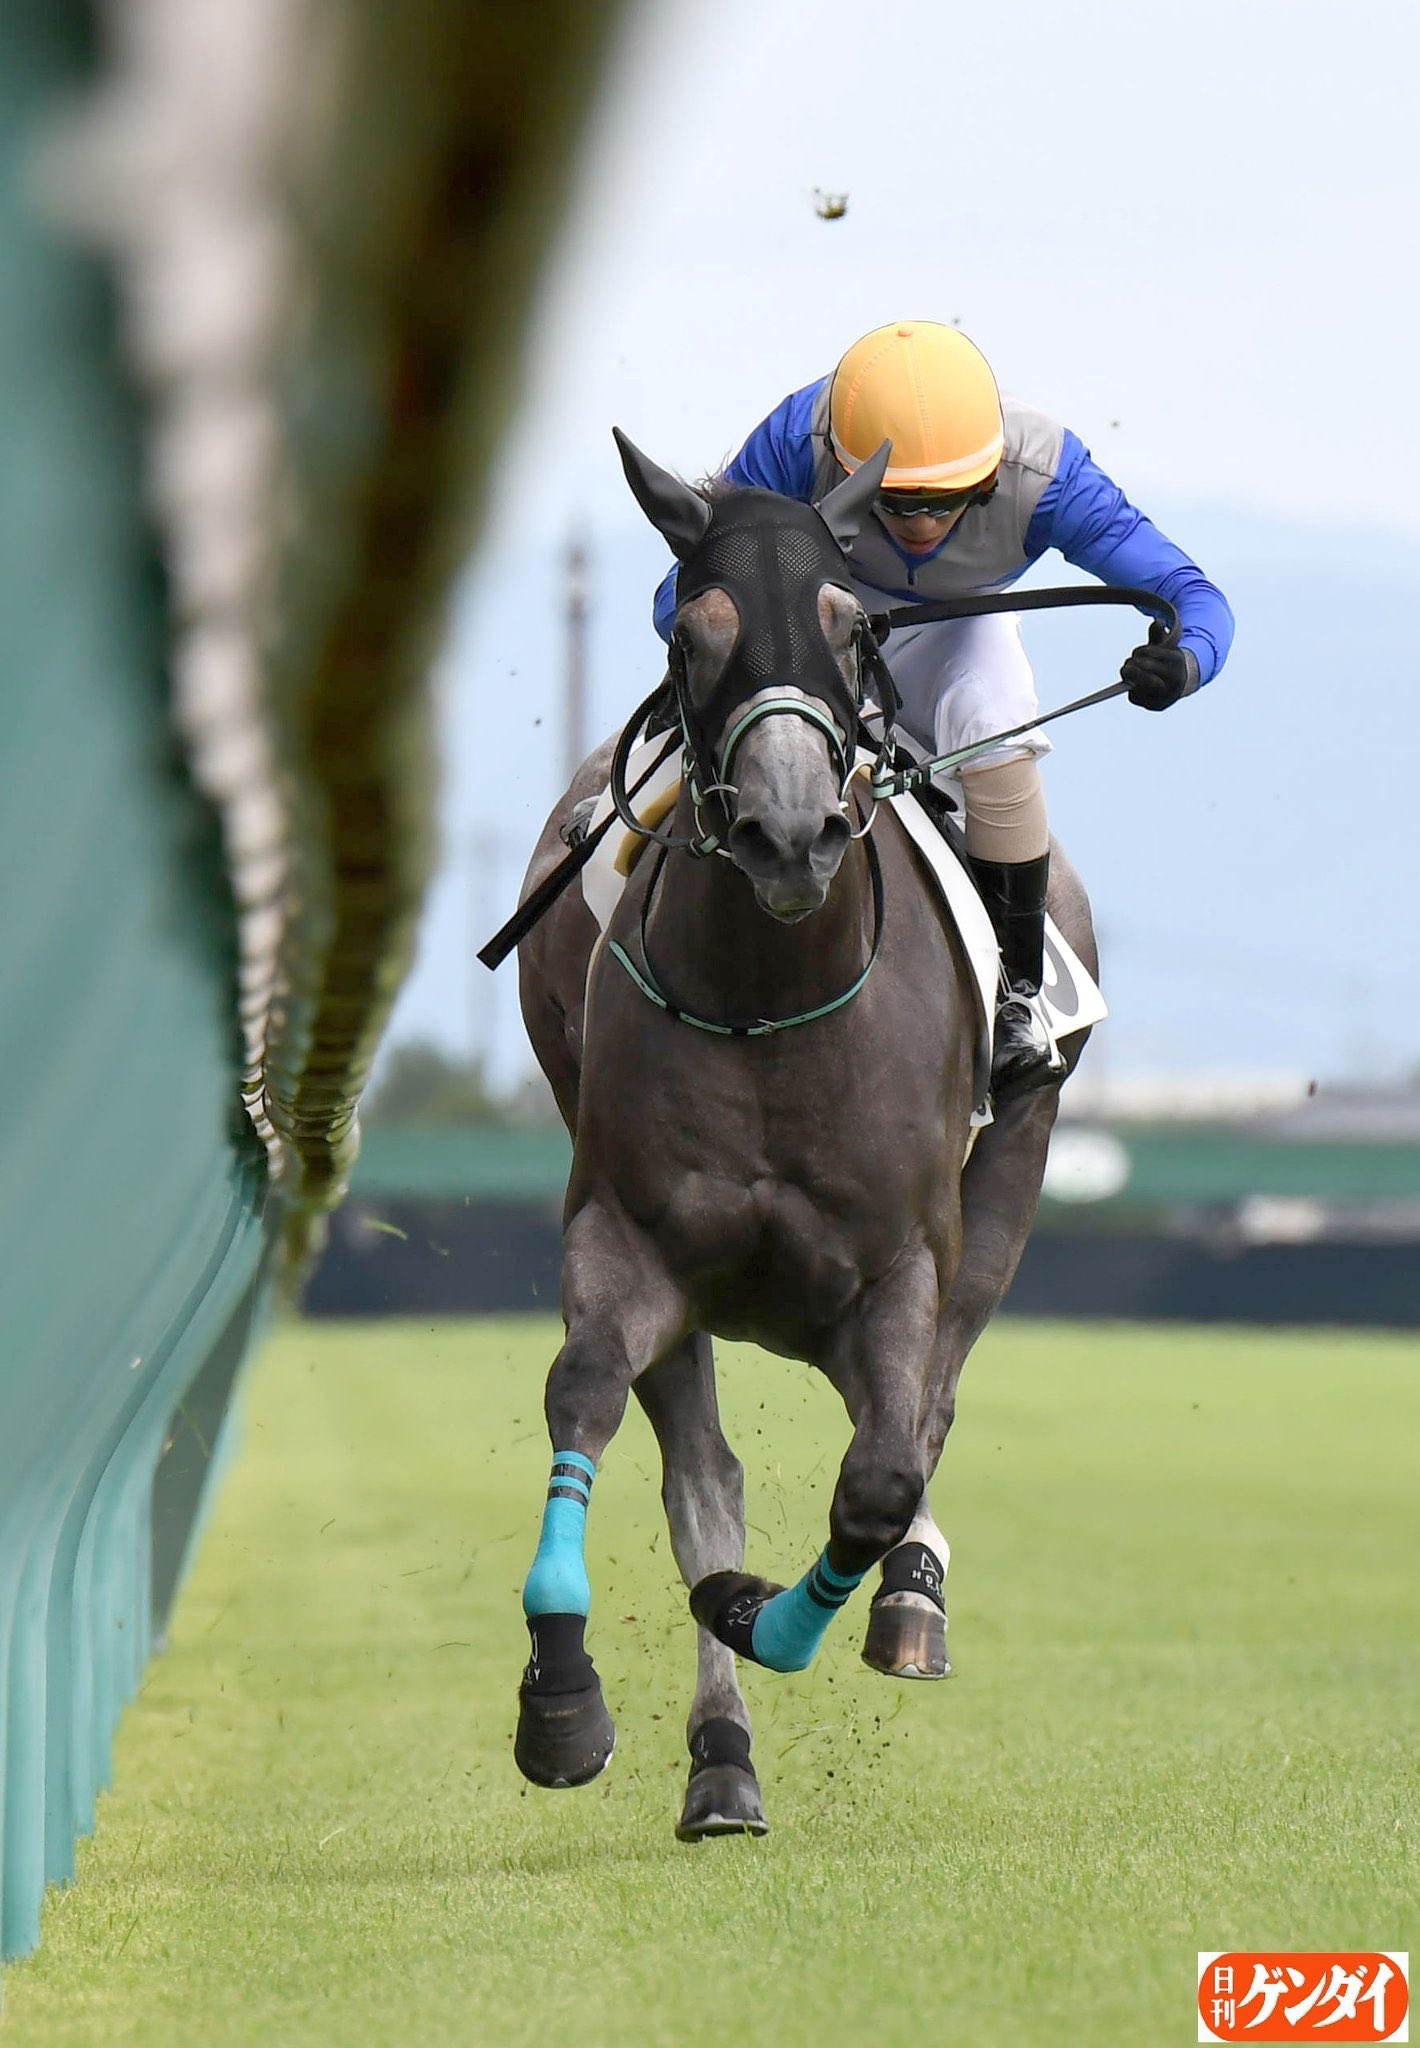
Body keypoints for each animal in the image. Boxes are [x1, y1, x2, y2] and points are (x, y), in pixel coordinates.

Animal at [510, 436, 1098, 1843]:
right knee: (704, 1470)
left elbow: (880, 1471)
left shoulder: (901, 1261)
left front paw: (786, 1608)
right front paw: (564, 1697)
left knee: (920, 1416)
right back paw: (722, 1757)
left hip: (1000, 1192)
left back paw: (907, 1597)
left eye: (847, 623)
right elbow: (592, 1400)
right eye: (696, 627)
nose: (790, 831)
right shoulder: (629, 1235)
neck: (772, 991)